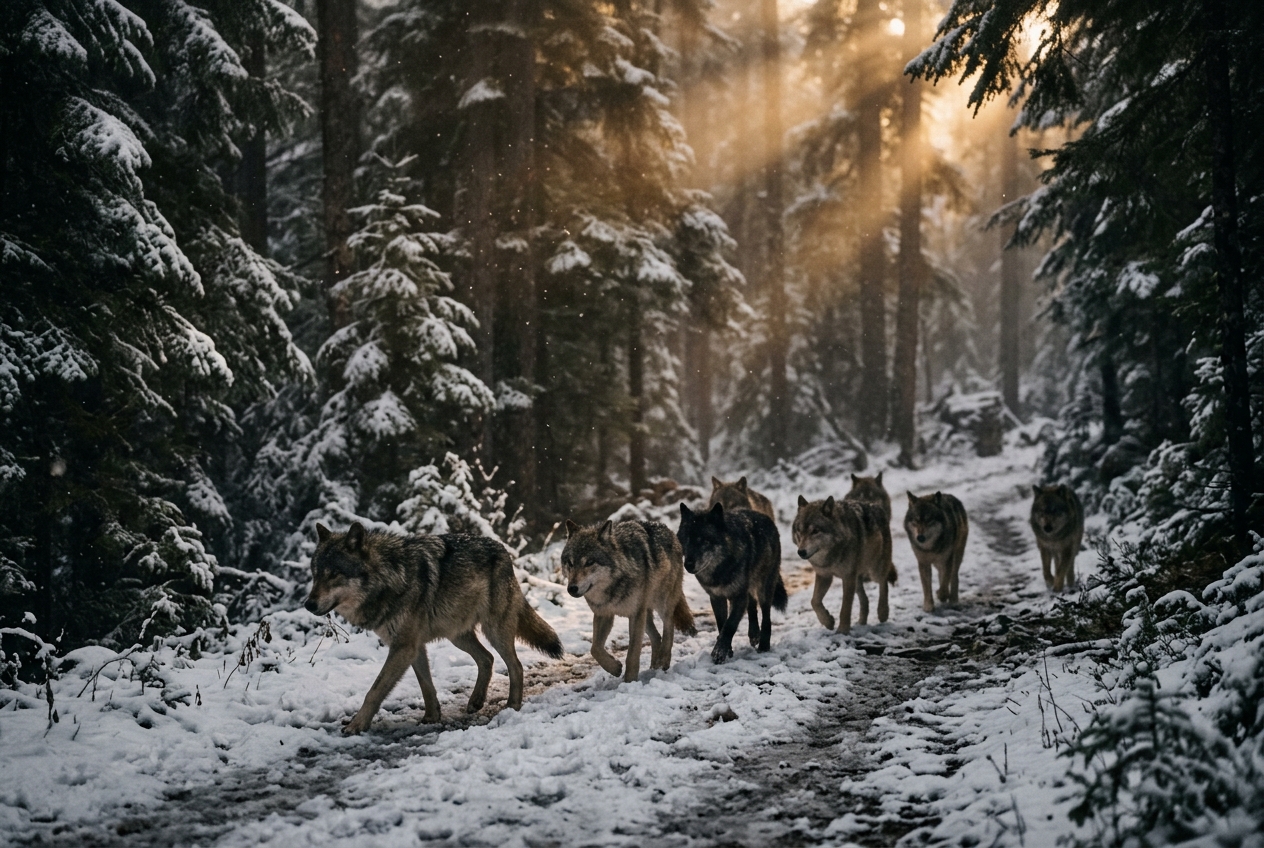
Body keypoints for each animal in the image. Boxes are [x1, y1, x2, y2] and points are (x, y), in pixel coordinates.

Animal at [304, 522, 563, 734]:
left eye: (334, 574)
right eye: (315, 575)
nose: (308, 604)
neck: (391, 577)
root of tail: (502, 549)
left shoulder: (403, 647)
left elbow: (374, 691)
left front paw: (356, 725)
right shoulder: (413, 647)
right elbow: (426, 685)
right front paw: (431, 716)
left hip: (494, 631)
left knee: (515, 665)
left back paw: (512, 706)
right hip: (457, 635)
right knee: (487, 659)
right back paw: (476, 701)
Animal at [561, 519, 695, 682]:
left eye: (590, 562)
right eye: (570, 563)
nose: (572, 588)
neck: (614, 585)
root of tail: (668, 530)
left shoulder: (635, 614)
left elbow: (632, 653)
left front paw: (629, 680)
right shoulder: (604, 614)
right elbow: (595, 649)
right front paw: (615, 668)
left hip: (661, 603)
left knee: (669, 626)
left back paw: (663, 660)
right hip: (646, 614)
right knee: (657, 636)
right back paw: (654, 666)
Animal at [677, 502, 786, 663]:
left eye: (704, 540)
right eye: (686, 540)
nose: (688, 565)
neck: (720, 569)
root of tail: (768, 519)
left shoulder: (738, 596)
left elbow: (730, 625)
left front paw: (719, 652)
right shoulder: (716, 597)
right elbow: (721, 624)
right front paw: (727, 649)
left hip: (764, 589)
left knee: (766, 615)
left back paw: (764, 645)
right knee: (752, 605)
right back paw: (754, 634)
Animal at [792, 495, 895, 634]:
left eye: (815, 531)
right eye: (799, 531)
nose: (801, 552)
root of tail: (876, 506)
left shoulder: (847, 577)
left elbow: (845, 608)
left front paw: (842, 630)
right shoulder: (824, 576)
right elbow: (814, 601)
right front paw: (828, 621)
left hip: (874, 570)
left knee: (883, 583)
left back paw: (883, 612)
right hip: (856, 579)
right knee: (865, 599)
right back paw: (862, 622)